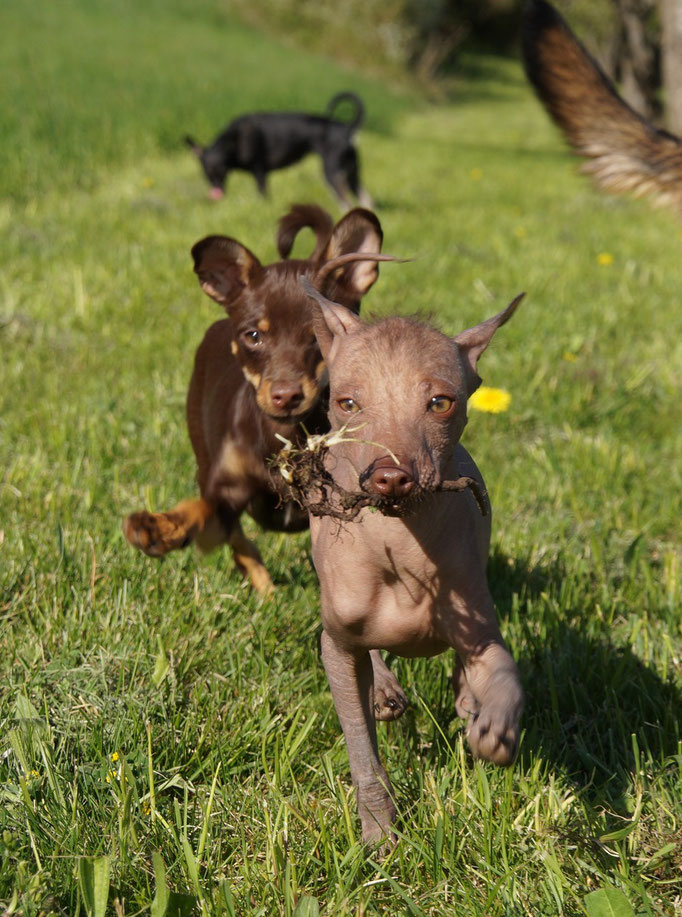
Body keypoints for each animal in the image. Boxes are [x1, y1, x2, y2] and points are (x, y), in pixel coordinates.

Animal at [123, 204, 388, 592]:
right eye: (253, 336)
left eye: (319, 336)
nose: (286, 395)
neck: (288, 438)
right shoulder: (223, 495)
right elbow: (200, 513)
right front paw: (157, 526)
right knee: (239, 543)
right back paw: (266, 591)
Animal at [185, 92, 372, 208]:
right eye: (207, 172)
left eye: (222, 170)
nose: (217, 191)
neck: (234, 144)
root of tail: (347, 129)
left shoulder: (260, 172)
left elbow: (262, 196)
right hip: (352, 173)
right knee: (367, 200)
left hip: (332, 173)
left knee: (346, 203)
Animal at [300, 282, 524, 848]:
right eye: (348, 403)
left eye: (440, 403)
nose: (390, 476)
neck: (399, 546)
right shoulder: (336, 647)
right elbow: (361, 749)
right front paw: (379, 830)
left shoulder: (480, 631)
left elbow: (505, 670)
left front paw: (494, 725)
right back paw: (384, 688)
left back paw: (468, 700)